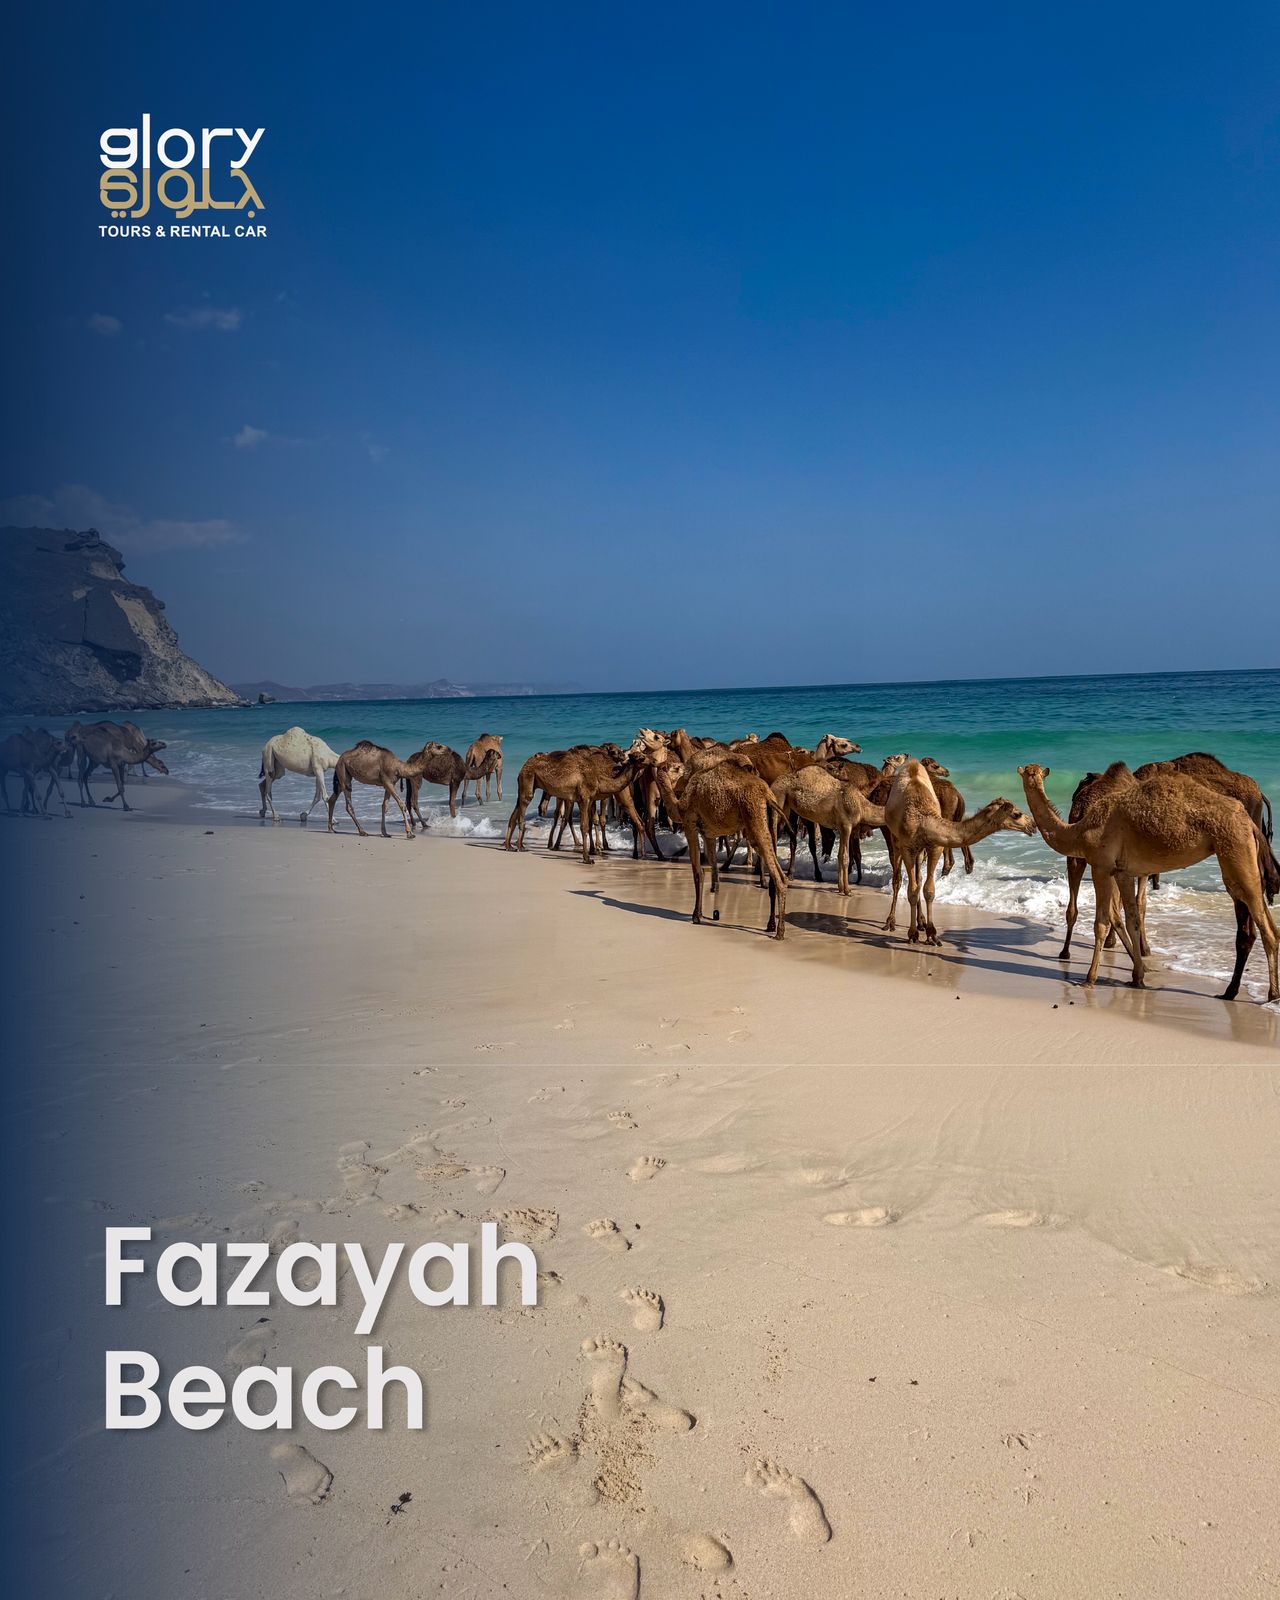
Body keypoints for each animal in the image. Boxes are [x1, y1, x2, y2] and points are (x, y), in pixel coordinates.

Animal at [884, 760, 1035, 944]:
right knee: (897, 879)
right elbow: (911, 890)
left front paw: (932, 933)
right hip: (895, 838)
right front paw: (912, 934)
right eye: (1016, 814)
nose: (1033, 824)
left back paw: (921, 922)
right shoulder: (907, 846)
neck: (923, 820)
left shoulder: (935, 846)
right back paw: (890, 922)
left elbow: (928, 890)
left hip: (920, 851)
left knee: (918, 879)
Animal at [1018, 763, 1279, 1001]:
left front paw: (1090, 978)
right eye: (1029, 772)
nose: (1029, 773)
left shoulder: (1101, 865)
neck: (1079, 830)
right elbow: (1131, 919)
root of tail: (1250, 822)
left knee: (1264, 923)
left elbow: (1101, 922)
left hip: (1235, 848)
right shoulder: (1122, 871)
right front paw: (1138, 976)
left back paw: (1270, 994)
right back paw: (1234, 992)